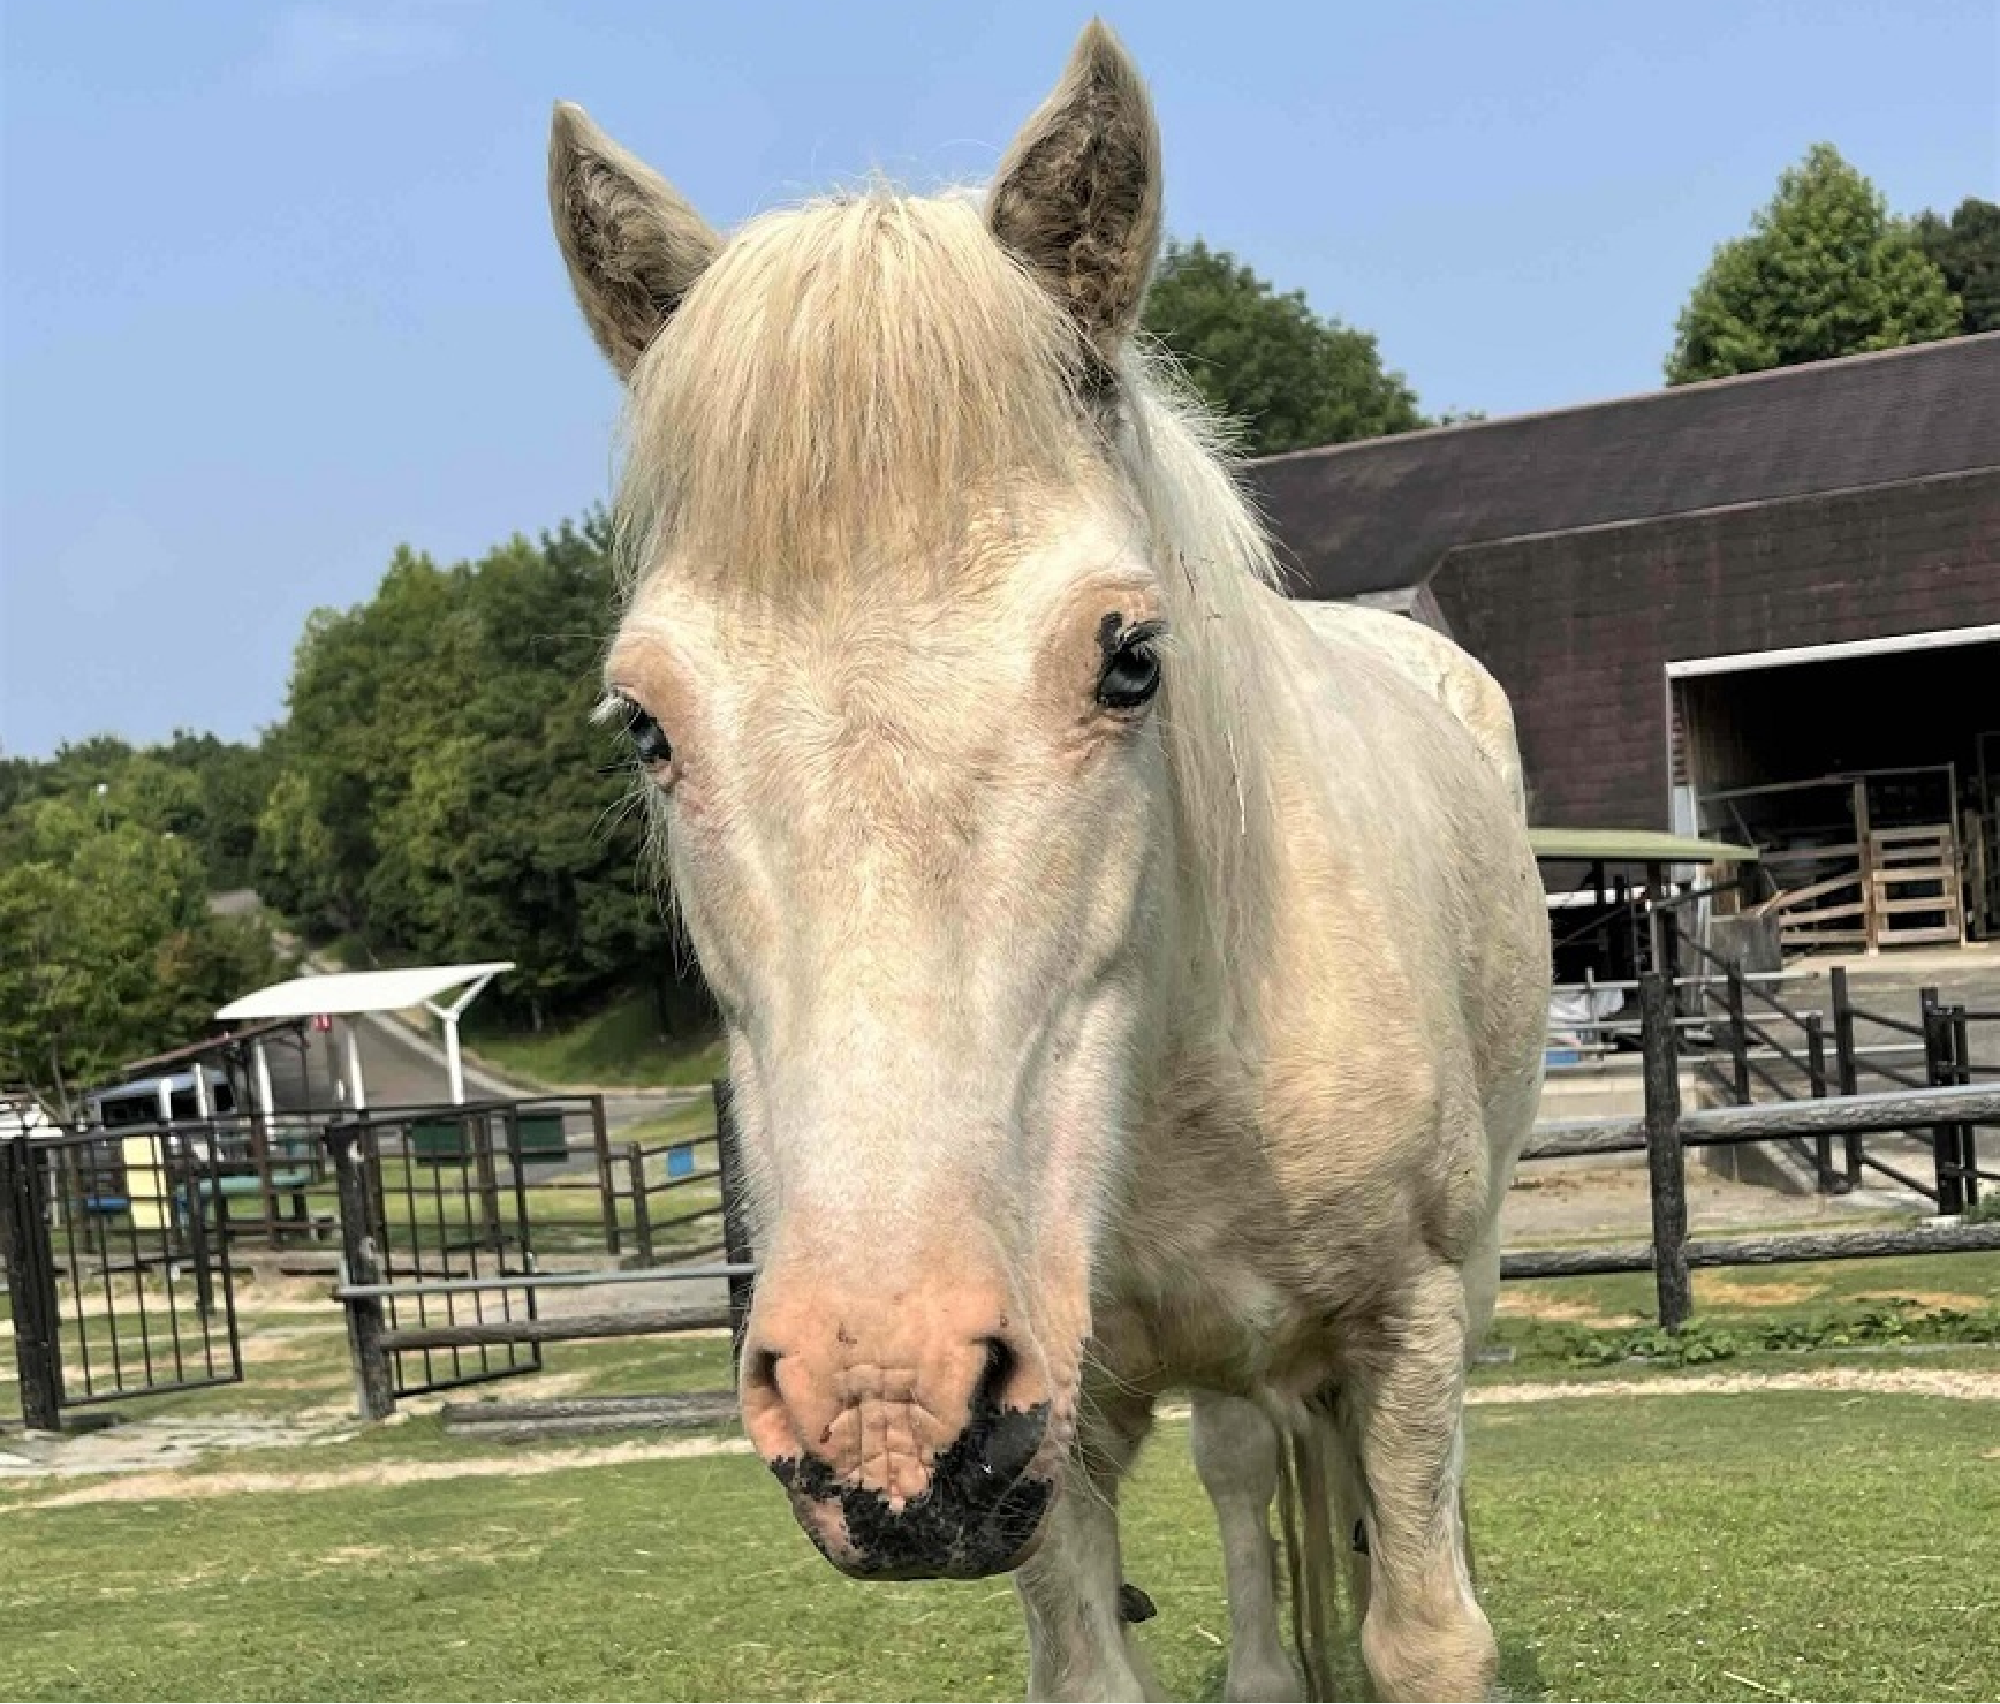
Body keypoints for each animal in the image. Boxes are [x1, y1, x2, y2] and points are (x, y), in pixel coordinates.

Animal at [546, 20, 1551, 1700]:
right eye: (644, 725)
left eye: (1129, 660)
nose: (883, 1408)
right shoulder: (1053, 1434)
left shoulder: (1409, 1327)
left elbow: (1424, 1629)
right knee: (1241, 1478)